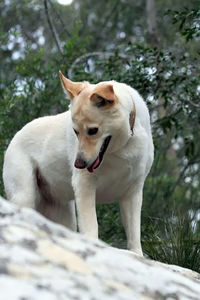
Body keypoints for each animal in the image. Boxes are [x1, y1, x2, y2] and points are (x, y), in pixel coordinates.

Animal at [2, 71, 153, 255]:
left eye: (93, 131)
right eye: (76, 132)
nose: (78, 164)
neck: (122, 148)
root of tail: (15, 137)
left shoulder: (132, 193)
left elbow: (134, 236)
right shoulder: (84, 186)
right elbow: (91, 227)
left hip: (64, 216)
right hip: (25, 197)